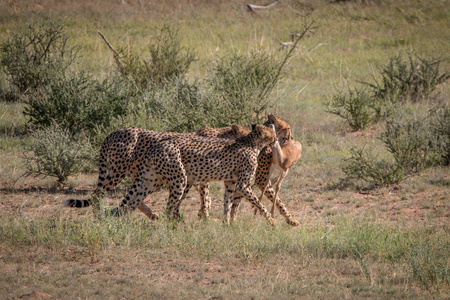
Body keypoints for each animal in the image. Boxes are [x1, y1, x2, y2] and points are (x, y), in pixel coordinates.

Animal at [111, 124, 278, 225]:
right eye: (272, 134)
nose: (276, 139)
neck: (252, 142)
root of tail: (156, 145)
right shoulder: (243, 185)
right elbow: (258, 203)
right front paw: (272, 221)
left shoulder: (231, 182)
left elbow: (228, 203)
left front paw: (226, 224)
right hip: (179, 179)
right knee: (169, 207)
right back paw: (171, 227)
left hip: (150, 181)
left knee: (132, 202)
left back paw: (124, 224)